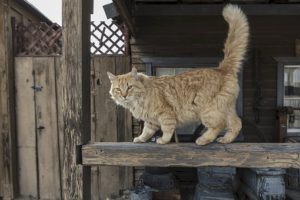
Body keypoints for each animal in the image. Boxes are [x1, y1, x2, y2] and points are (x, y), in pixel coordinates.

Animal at [108, 4, 248, 145]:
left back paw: (203, 140)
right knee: (236, 123)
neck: (138, 99)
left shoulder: (165, 113)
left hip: (208, 110)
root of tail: (221, 68)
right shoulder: (151, 120)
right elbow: (146, 131)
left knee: (219, 125)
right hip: (226, 108)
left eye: (129, 87)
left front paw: (163, 140)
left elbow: (167, 129)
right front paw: (141, 139)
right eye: (118, 89)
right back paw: (226, 139)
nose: (124, 95)